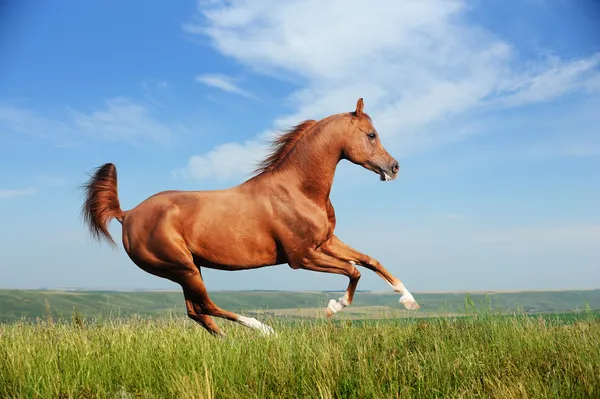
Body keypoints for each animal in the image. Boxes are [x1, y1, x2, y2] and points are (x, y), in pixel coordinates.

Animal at [82, 97, 420, 338]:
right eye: (371, 135)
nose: (394, 167)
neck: (299, 190)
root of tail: (127, 215)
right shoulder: (302, 257)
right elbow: (353, 271)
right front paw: (333, 308)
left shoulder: (326, 242)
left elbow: (369, 261)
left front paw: (408, 299)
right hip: (182, 268)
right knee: (205, 305)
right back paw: (263, 330)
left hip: (187, 269)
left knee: (196, 311)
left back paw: (227, 342)